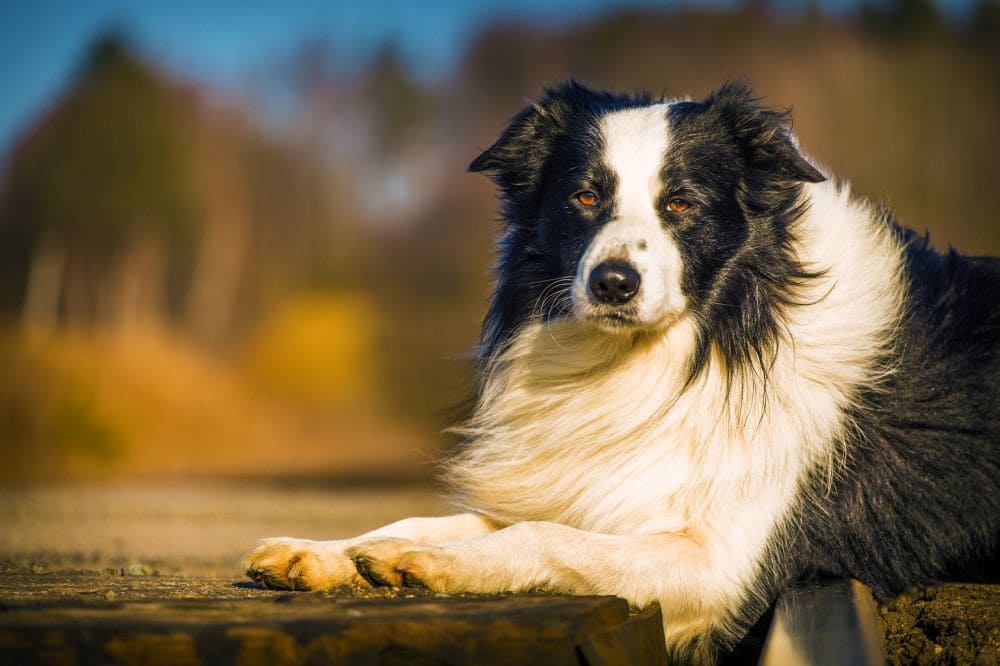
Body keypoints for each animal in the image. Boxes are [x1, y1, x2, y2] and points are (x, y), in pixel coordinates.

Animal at [244, 81, 1000, 660]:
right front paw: (327, 551)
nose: (613, 283)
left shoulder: (720, 564)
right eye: (583, 197)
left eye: (681, 203)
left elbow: (541, 536)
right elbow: (428, 520)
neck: (677, 353)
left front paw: (438, 566)